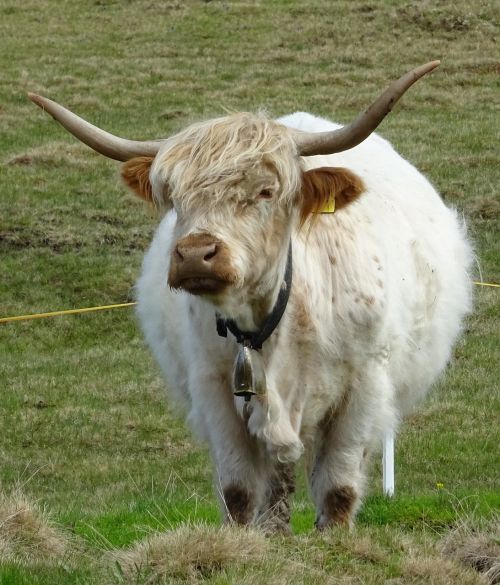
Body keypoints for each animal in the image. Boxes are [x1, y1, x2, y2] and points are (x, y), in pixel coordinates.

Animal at [30, 60, 472, 528]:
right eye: (174, 197)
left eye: (266, 191)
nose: (195, 254)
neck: (275, 321)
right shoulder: (215, 390)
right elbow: (239, 491)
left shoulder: (364, 387)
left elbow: (338, 488)